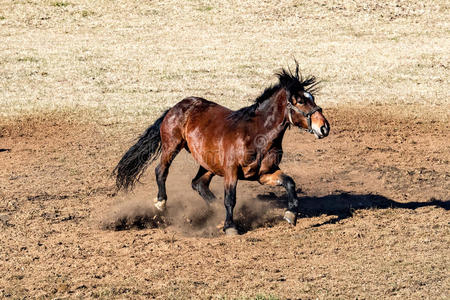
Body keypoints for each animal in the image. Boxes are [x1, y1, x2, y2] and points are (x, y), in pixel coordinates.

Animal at [113, 64, 330, 236]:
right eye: (300, 101)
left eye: (312, 97)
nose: (324, 127)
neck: (257, 135)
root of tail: (175, 107)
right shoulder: (231, 171)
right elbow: (230, 199)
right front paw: (230, 227)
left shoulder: (264, 174)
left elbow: (290, 183)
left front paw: (291, 214)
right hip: (172, 146)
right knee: (161, 171)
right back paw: (161, 203)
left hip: (208, 163)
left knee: (198, 183)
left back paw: (214, 209)